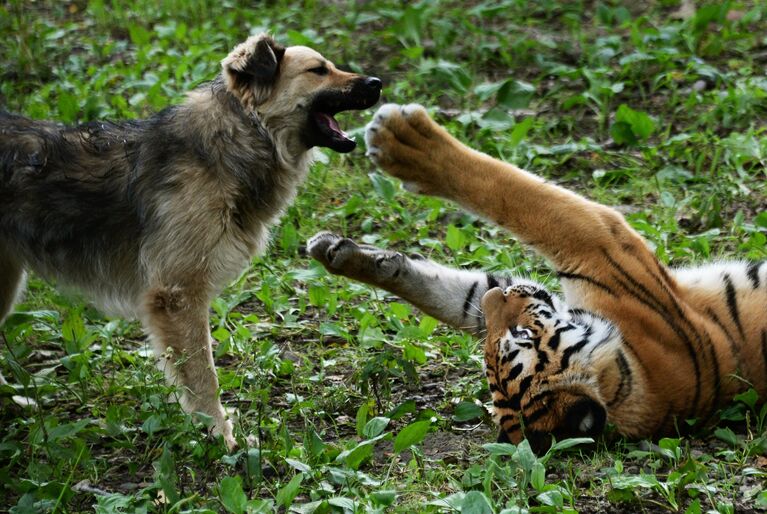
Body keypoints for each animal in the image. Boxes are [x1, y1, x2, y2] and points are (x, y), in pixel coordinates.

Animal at [0, 34, 382, 446]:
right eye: (318, 70)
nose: (377, 83)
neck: (238, 137)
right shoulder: (178, 296)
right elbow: (203, 377)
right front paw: (220, 437)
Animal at [306, 102, 767, 450]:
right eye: (488, 352)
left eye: (522, 336)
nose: (501, 295)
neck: (636, 368)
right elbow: (455, 288)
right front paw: (341, 254)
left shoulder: (600, 244)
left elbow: (515, 194)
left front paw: (401, 140)